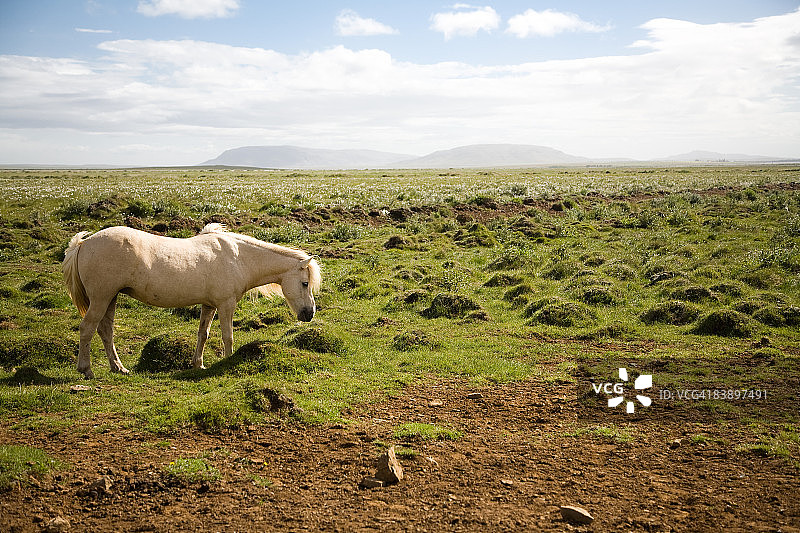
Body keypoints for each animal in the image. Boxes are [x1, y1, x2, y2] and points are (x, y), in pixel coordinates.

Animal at [62, 223, 321, 379]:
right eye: (304, 283)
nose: (309, 314)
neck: (239, 258)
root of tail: (83, 244)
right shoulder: (226, 304)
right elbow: (227, 335)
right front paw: (227, 360)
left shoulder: (209, 305)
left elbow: (203, 334)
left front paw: (198, 364)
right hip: (101, 298)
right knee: (87, 328)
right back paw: (86, 370)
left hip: (110, 298)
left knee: (105, 331)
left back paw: (119, 367)